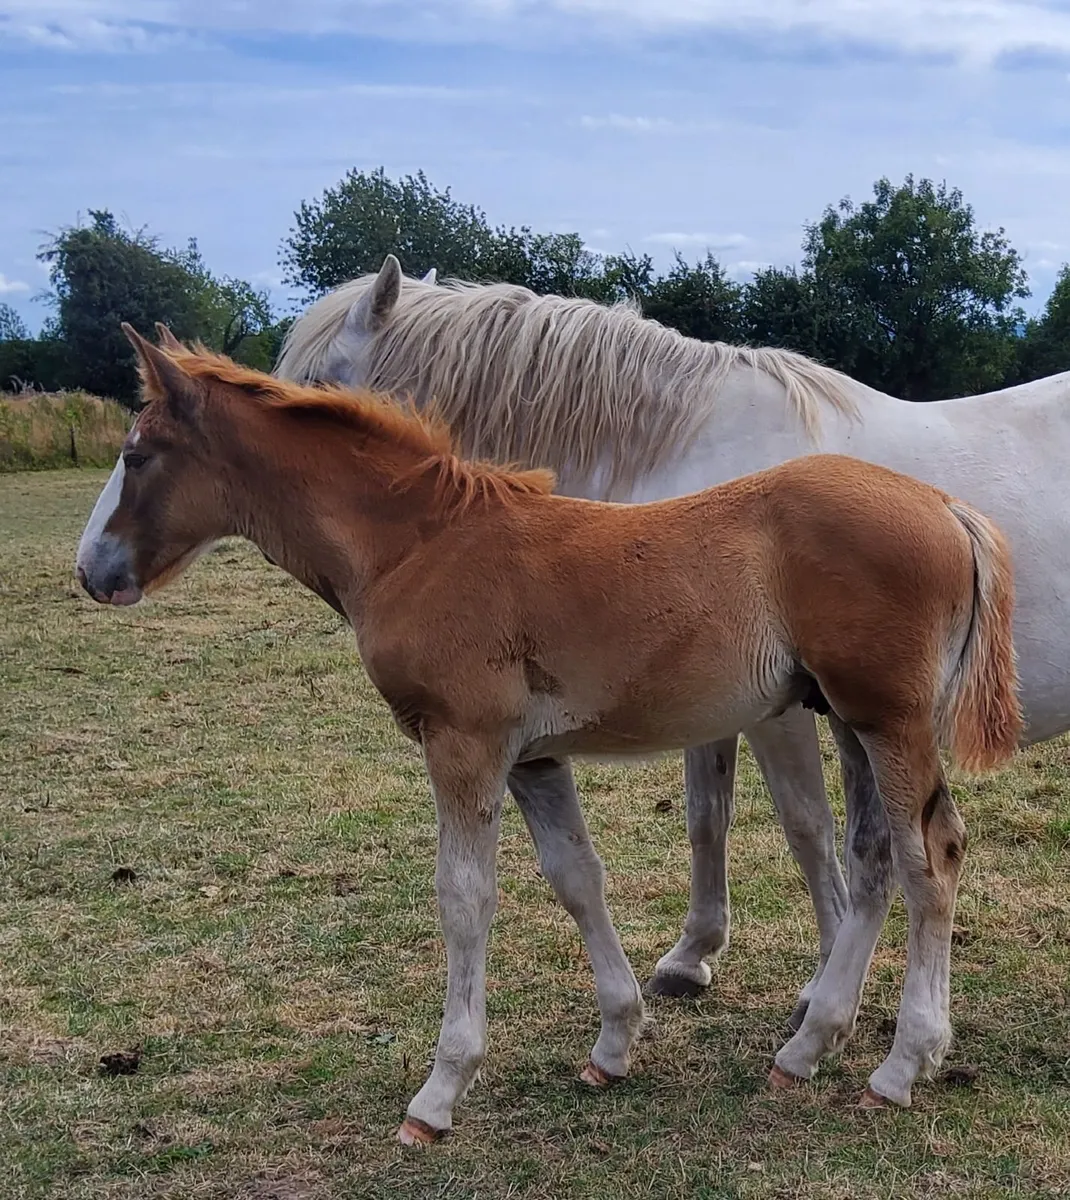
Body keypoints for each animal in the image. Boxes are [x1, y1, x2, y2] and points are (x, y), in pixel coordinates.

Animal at [76, 326, 1021, 1142]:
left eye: (136, 454)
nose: (90, 573)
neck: (420, 546)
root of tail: (947, 506)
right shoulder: (533, 756)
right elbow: (577, 879)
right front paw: (614, 1043)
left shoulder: (463, 743)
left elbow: (465, 897)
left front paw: (440, 1092)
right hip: (850, 720)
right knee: (875, 857)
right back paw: (807, 1047)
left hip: (888, 720)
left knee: (930, 857)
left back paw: (900, 1067)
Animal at [275, 256, 1068, 1023]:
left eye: (309, 398)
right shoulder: (706, 696)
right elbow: (706, 818)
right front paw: (693, 958)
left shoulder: (778, 710)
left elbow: (806, 827)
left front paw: (820, 984)